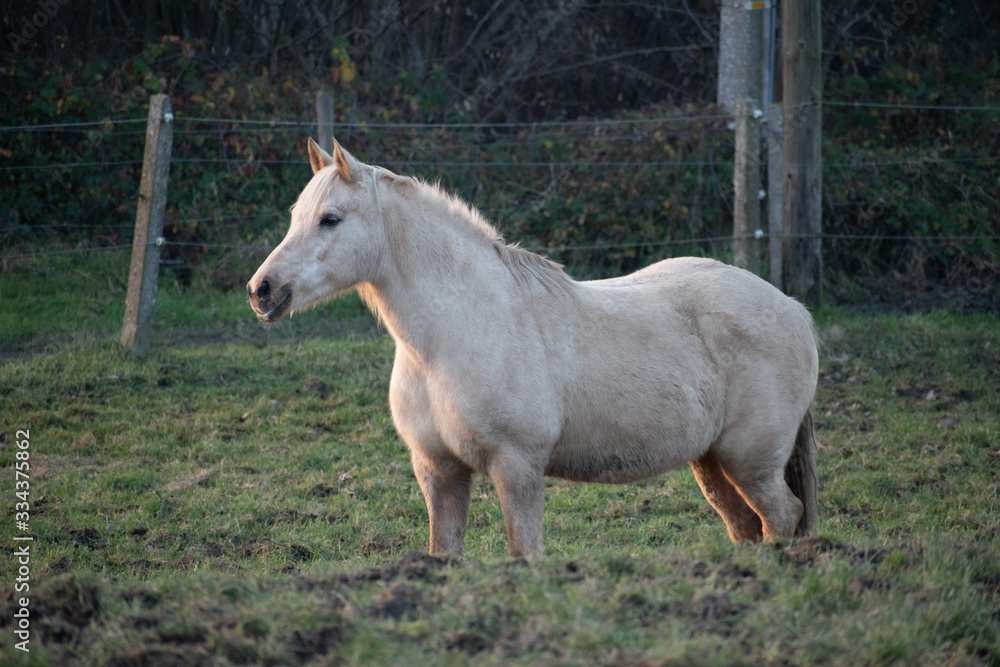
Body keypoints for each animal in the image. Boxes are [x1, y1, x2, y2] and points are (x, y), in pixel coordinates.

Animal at [247, 138, 819, 558]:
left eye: (331, 219)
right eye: (297, 215)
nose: (262, 290)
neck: (452, 337)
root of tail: (794, 309)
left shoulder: (517, 466)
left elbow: (524, 551)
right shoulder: (437, 470)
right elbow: (442, 552)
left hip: (750, 460)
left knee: (782, 517)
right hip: (712, 461)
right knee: (747, 526)